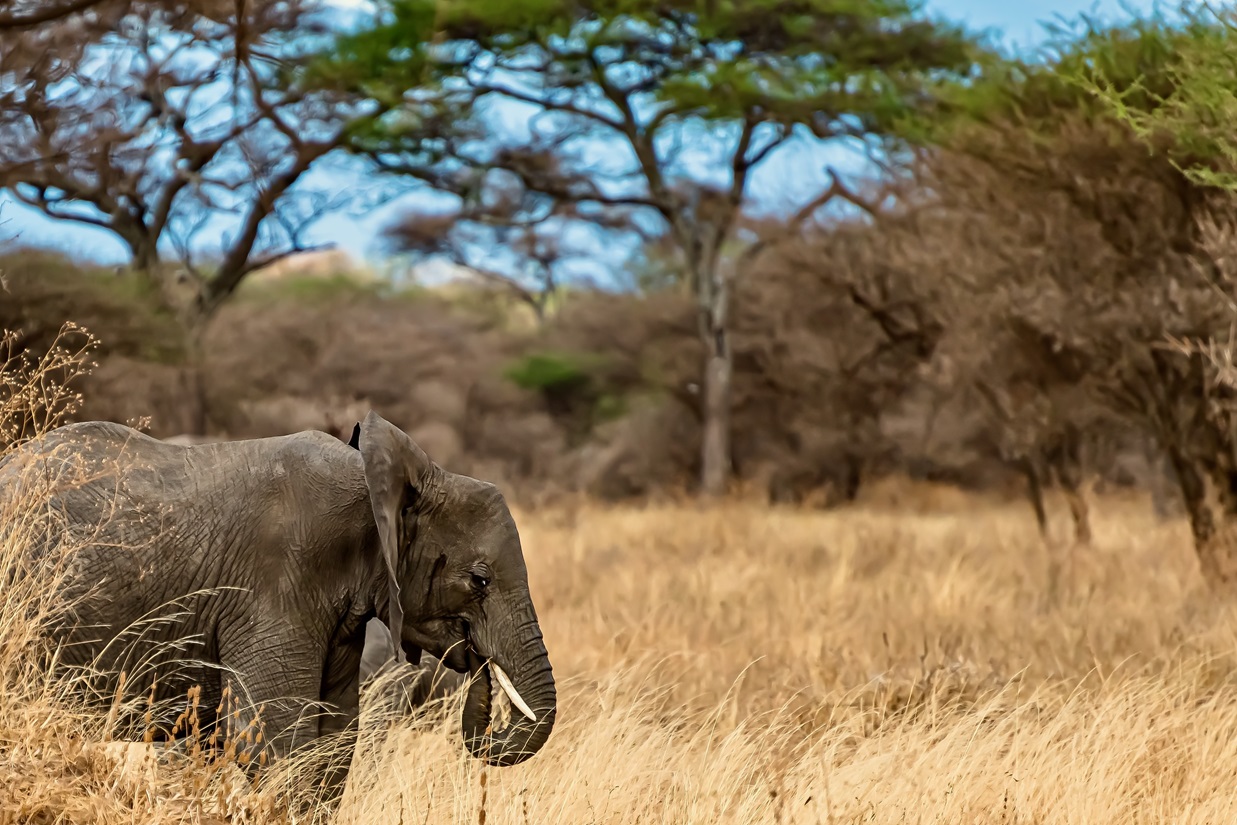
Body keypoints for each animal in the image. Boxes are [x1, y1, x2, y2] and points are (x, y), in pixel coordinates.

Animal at [0, 410, 556, 791]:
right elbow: (276, 744)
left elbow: (333, 746)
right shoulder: (276, 585)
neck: (375, 483)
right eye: (480, 579)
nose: (479, 662)